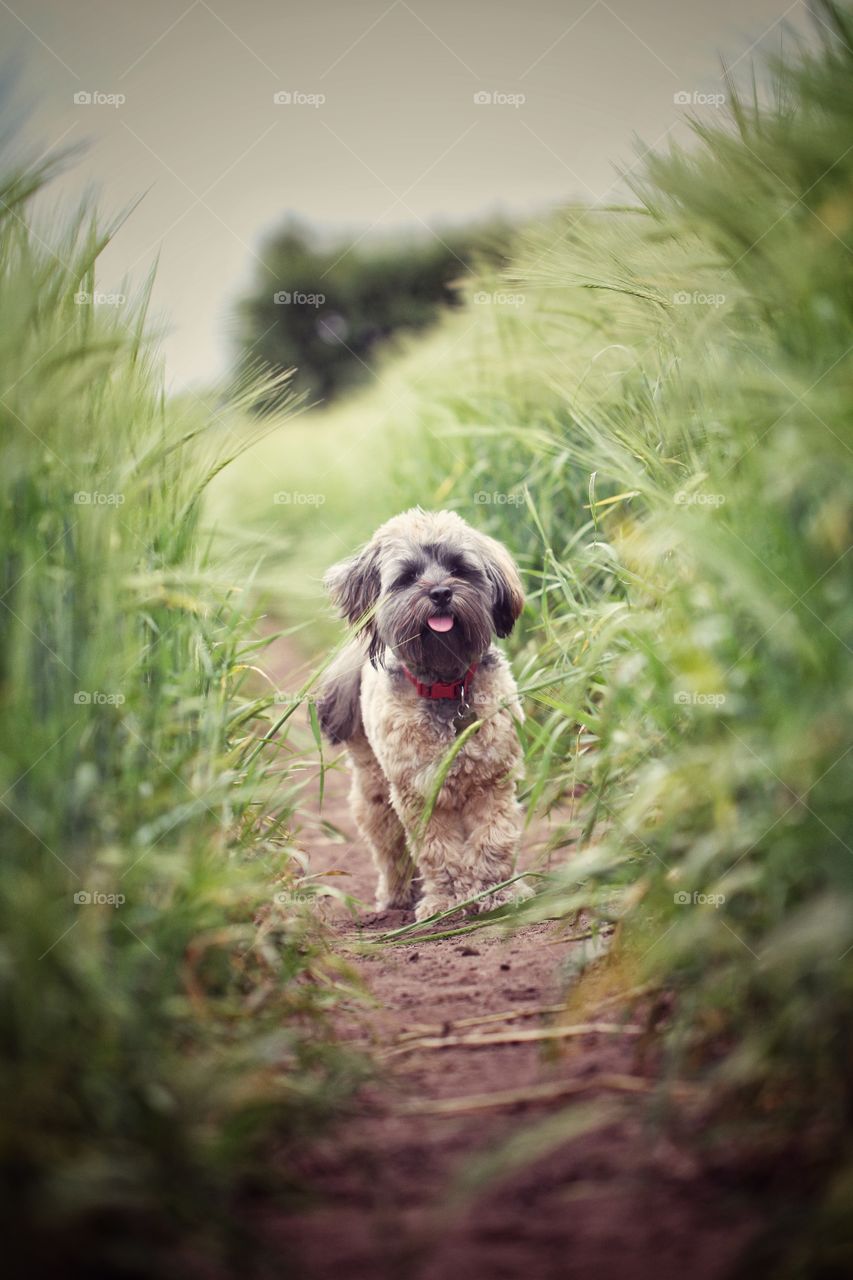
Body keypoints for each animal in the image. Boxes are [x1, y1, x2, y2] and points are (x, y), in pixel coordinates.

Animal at [315, 506, 527, 921]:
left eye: (459, 568)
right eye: (409, 577)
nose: (441, 592)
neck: (446, 685)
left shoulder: (491, 781)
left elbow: (493, 837)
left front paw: (495, 891)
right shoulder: (420, 792)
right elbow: (438, 851)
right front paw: (447, 901)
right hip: (375, 791)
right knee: (390, 850)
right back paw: (396, 897)